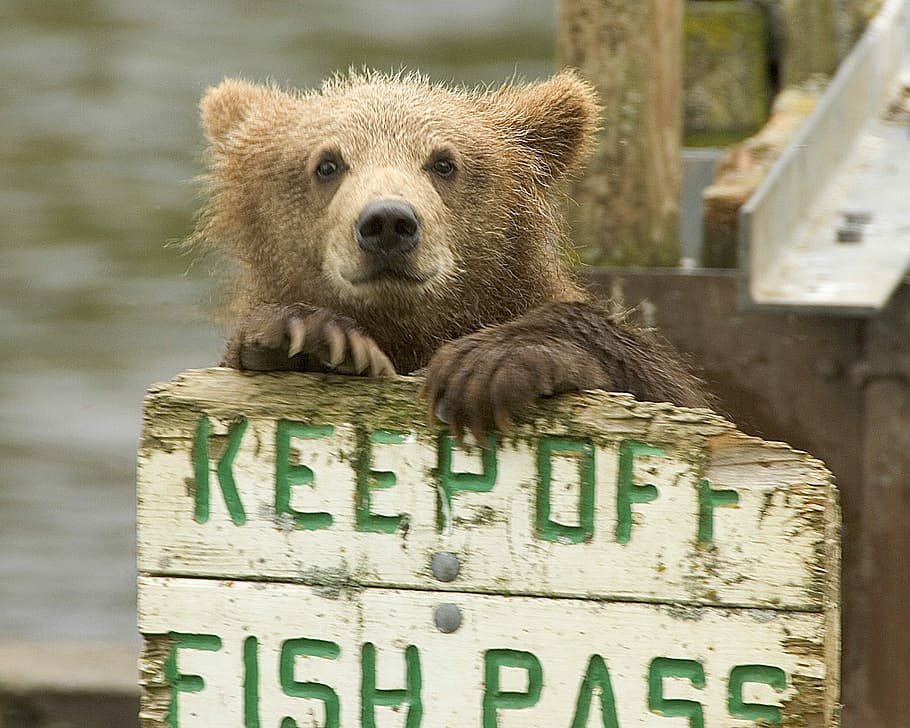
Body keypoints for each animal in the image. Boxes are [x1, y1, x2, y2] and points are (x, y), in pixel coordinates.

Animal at [192, 70, 710, 442]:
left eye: (444, 162)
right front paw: (307, 336)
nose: (388, 222)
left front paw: (488, 365)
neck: (414, 329)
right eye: (327, 164)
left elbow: (672, 392)